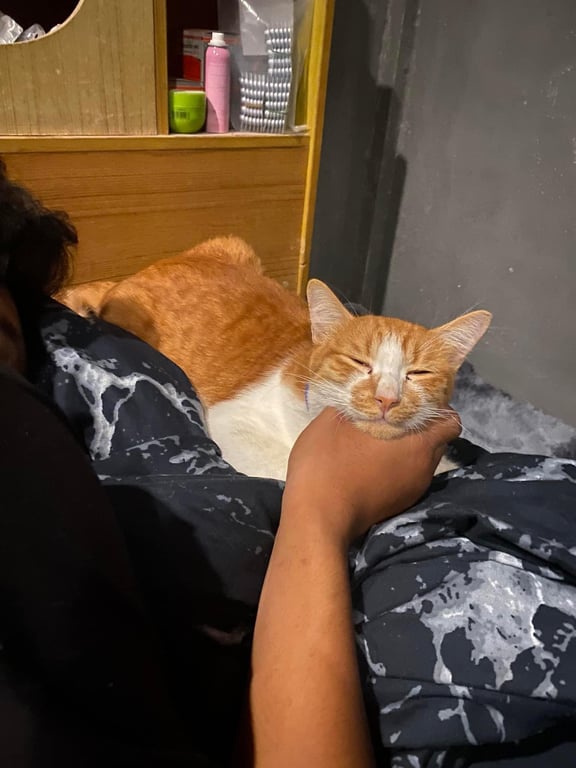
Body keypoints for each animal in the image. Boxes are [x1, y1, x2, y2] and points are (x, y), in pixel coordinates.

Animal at [57, 236, 492, 480]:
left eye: (418, 373)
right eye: (358, 362)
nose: (387, 398)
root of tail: (133, 276)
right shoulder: (233, 423)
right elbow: (289, 467)